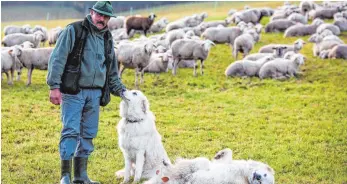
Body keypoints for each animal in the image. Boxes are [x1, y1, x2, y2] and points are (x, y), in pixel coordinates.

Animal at [145, 148, 276, 184]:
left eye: (262, 183)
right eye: (265, 174)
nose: (258, 177)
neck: (243, 173)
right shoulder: (224, 163)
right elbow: (228, 152)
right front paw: (219, 154)